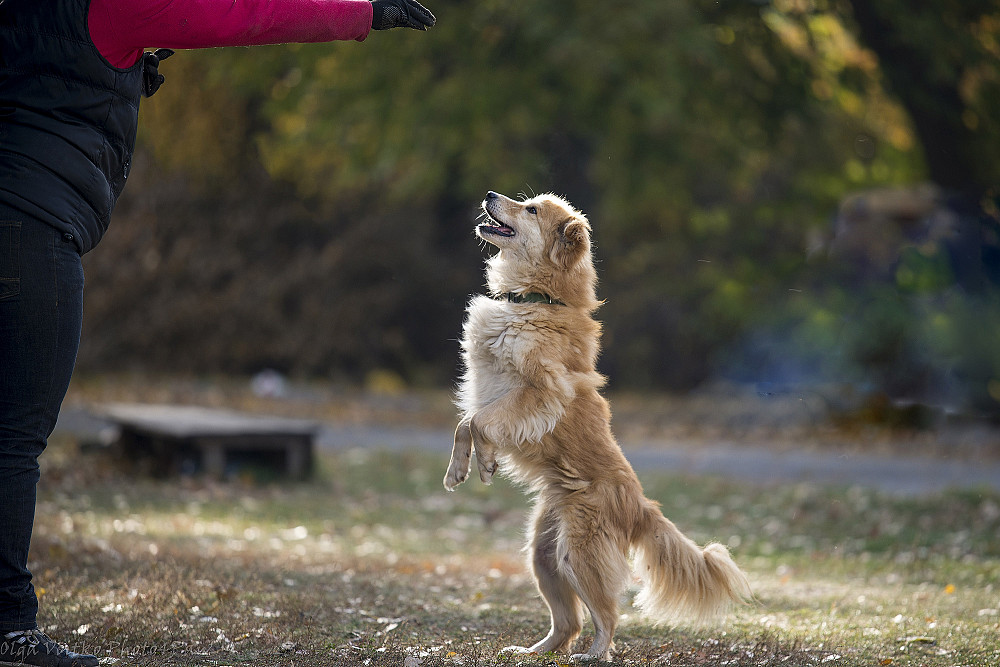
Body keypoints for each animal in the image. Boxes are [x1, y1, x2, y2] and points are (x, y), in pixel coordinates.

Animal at [444, 192, 752, 664]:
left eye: (531, 210)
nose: (490, 195)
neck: (536, 299)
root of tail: (640, 505)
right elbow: (466, 423)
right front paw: (464, 468)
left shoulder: (541, 393)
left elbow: (478, 421)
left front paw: (480, 464)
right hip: (544, 556)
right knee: (568, 623)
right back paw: (531, 651)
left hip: (578, 555)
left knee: (607, 617)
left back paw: (592, 654)